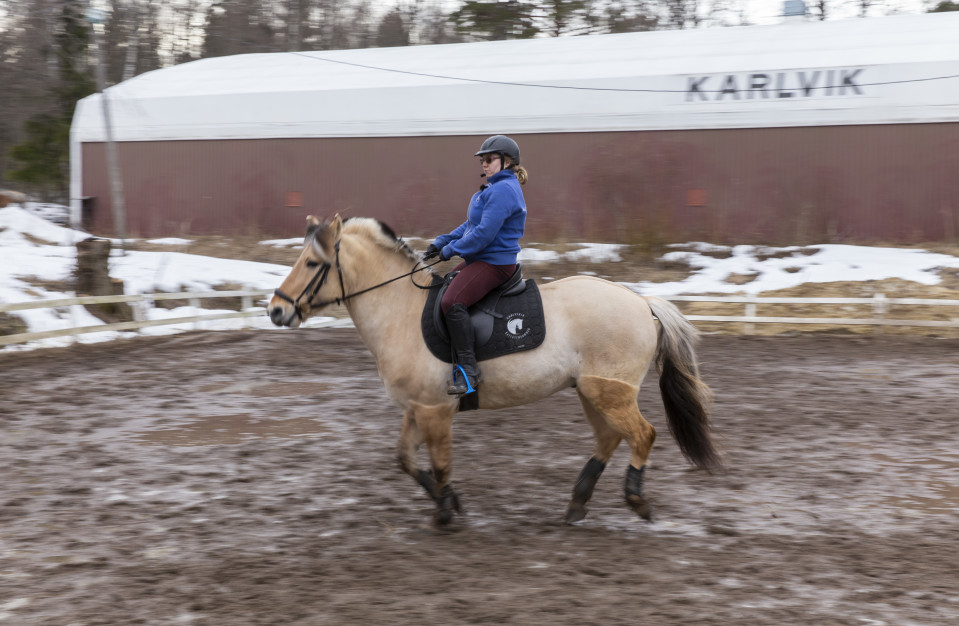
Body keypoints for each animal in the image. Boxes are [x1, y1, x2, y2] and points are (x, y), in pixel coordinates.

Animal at [264, 217, 720, 524]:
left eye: (311, 264)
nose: (276, 311)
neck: (400, 312)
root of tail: (643, 302)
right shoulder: (416, 407)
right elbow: (406, 460)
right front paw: (449, 502)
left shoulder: (435, 410)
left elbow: (440, 463)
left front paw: (445, 512)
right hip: (591, 391)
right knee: (610, 437)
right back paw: (577, 503)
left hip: (610, 391)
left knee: (642, 435)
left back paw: (636, 500)